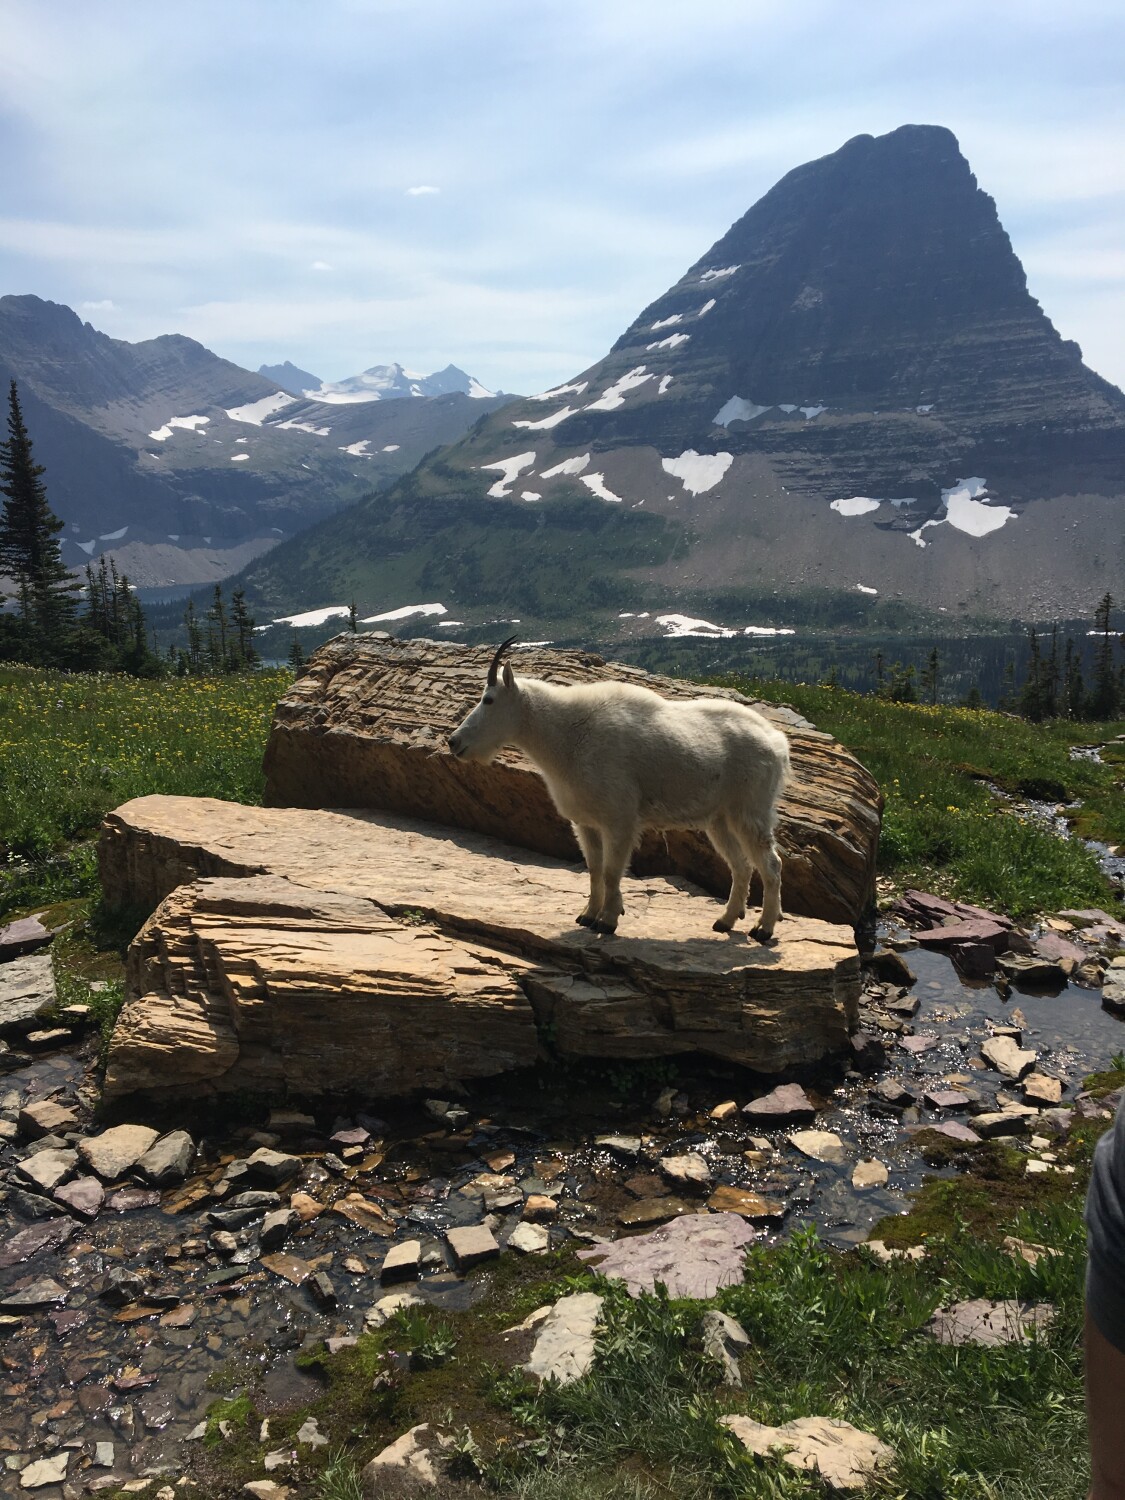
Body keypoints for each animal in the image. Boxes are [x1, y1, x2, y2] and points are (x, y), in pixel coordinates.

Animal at [448, 638, 790, 939]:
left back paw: (764, 928)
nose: (454, 742)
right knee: (741, 866)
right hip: (718, 819)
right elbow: (594, 869)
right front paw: (587, 915)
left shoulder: (620, 818)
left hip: (751, 810)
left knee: (771, 865)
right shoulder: (585, 822)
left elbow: (612, 871)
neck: (566, 736)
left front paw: (608, 920)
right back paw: (725, 921)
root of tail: (777, 743)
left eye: (489, 699)